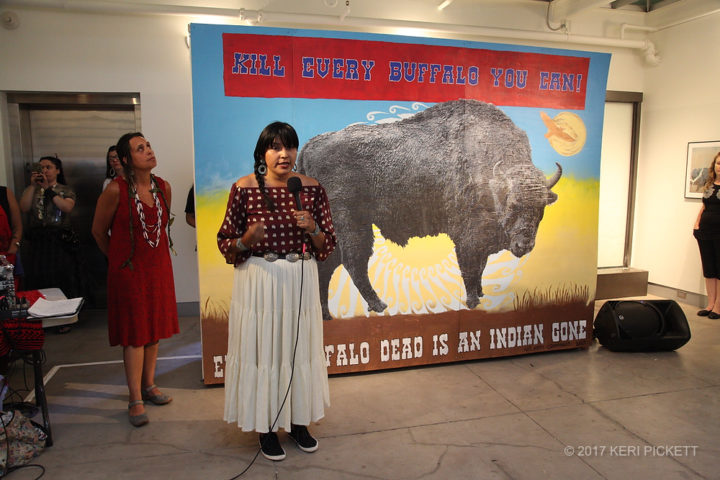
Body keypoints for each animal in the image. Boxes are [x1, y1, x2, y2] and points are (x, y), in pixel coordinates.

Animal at [298, 98, 564, 318]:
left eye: (541, 208)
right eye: (512, 204)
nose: (524, 245)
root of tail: (311, 145)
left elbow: (481, 267)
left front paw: (481, 293)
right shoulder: (468, 238)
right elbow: (470, 268)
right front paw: (473, 301)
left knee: (327, 266)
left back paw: (326, 314)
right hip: (351, 225)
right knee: (354, 262)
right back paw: (379, 305)